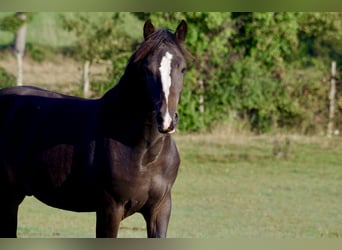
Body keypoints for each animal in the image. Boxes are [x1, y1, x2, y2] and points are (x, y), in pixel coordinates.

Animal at [0, 20, 187, 238]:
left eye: (183, 68)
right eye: (147, 69)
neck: (144, 153)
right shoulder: (110, 209)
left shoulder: (160, 209)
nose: (166, 120)